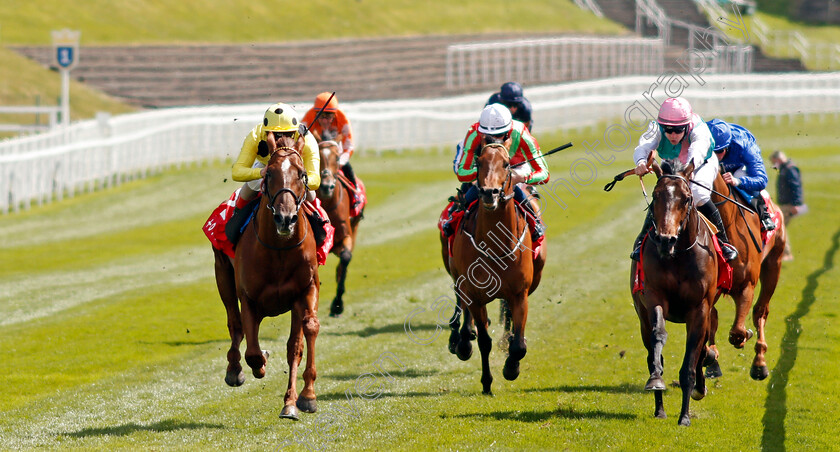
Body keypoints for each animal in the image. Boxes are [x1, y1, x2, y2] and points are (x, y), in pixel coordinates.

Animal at [213, 134, 322, 420]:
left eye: (302, 174)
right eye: (269, 173)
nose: (285, 218)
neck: (279, 251)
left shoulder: (305, 290)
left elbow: (304, 335)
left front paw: (304, 397)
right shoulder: (249, 298)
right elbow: (252, 350)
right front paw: (259, 362)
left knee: (293, 345)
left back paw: (291, 401)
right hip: (223, 274)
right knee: (235, 324)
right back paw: (234, 370)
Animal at [442, 139, 548, 394]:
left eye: (507, 163)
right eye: (479, 162)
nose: (490, 193)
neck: (495, 243)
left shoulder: (520, 293)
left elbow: (518, 345)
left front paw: (511, 367)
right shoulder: (475, 294)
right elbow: (483, 340)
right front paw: (486, 382)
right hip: (459, 278)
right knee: (461, 305)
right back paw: (460, 340)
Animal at [632, 160, 720, 428]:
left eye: (686, 198)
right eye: (656, 196)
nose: (665, 239)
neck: (678, 255)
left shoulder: (700, 309)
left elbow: (693, 358)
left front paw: (685, 416)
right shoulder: (654, 297)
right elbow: (658, 337)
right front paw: (656, 380)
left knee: (702, 348)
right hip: (641, 316)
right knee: (652, 349)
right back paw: (659, 407)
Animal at [708, 171, 788, 380]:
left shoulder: (747, 284)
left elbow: (737, 330)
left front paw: (744, 337)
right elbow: (712, 318)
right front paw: (712, 360)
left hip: (773, 264)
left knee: (761, 310)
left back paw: (759, 362)